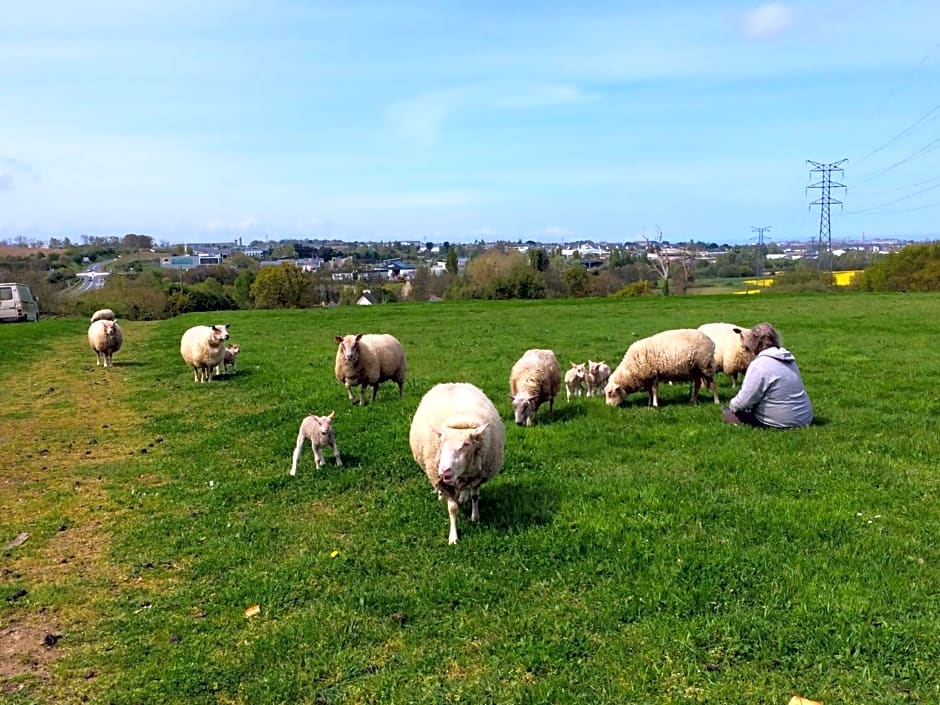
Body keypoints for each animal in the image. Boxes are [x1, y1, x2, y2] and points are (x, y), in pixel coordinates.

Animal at [408, 384, 504, 544]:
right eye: (441, 442)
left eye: (466, 444)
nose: (444, 470)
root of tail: (453, 383)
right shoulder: (443, 482)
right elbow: (452, 508)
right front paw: (453, 537)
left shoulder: (477, 476)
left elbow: (475, 497)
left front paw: (475, 517)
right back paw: (441, 495)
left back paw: (463, 496)